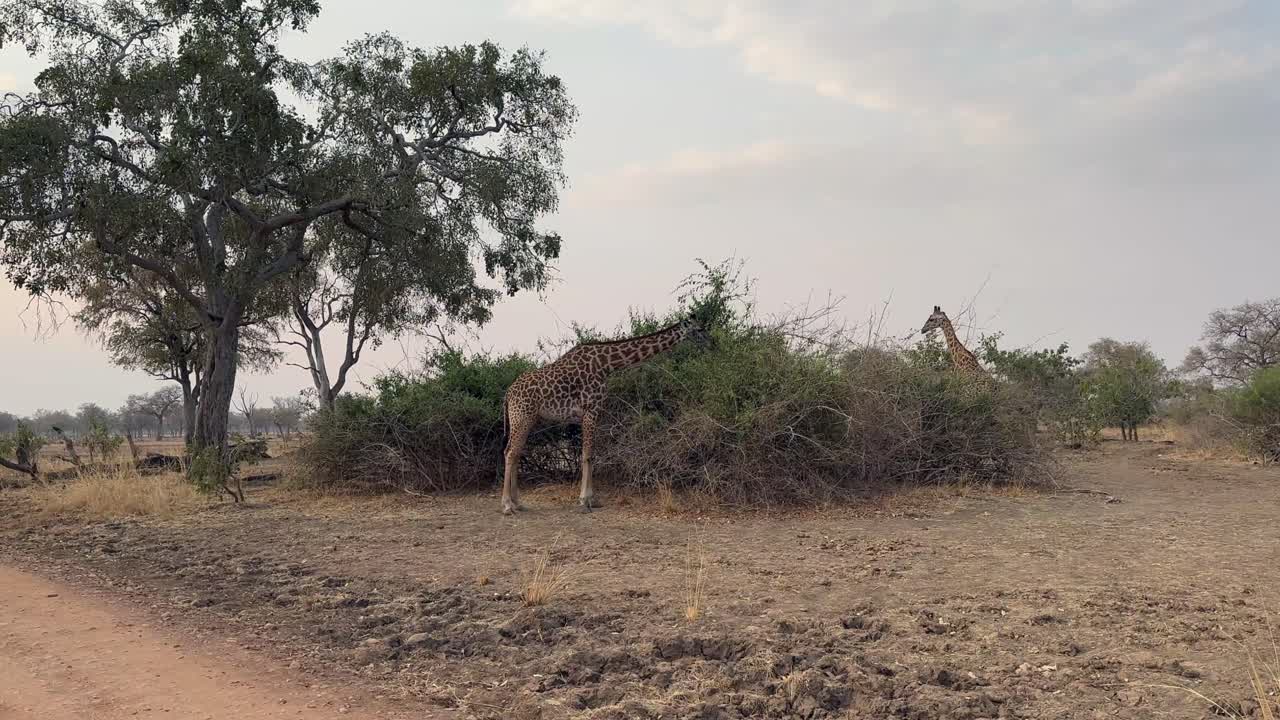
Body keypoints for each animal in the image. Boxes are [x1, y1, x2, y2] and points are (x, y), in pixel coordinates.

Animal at [499, 310, 713, 515]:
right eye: (699, 329)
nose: (712, 343)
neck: (607, 364)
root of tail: (508, 393)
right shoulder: (590, 409)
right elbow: (587, 455)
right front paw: (585, 501)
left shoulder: (592, 412)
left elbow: (591, 454)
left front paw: (592, 500)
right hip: (521, 416)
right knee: (510, 452)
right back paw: (507, 505)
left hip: (527, 418)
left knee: (515, 452)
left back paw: (518, 503)